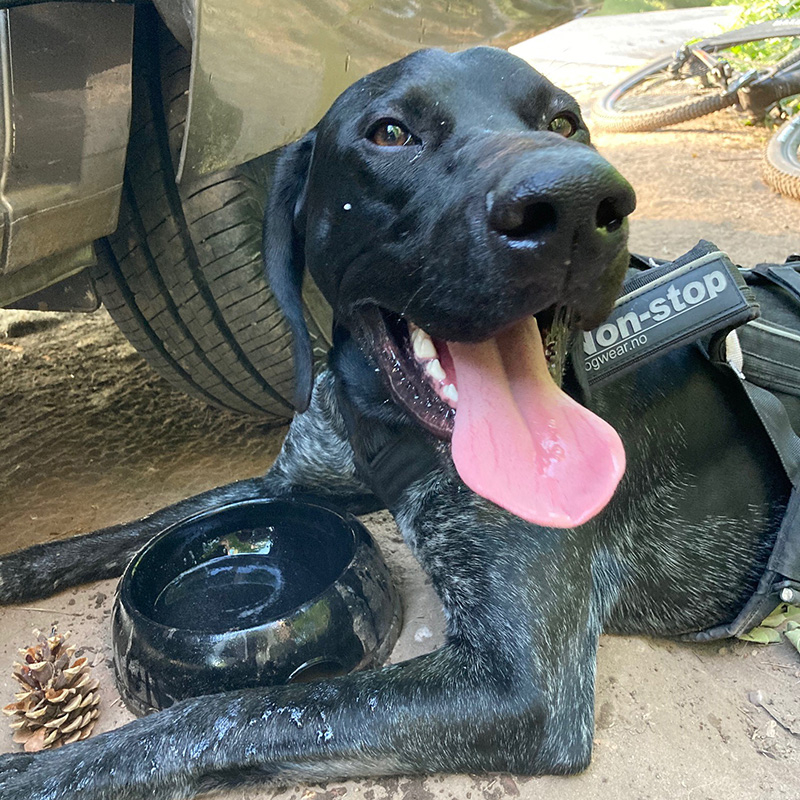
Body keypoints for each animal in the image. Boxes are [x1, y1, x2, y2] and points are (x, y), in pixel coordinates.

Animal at [0, 47, 788, 796]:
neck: (380, 410)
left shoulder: (521, 687)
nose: (577, 201)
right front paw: (21, 565)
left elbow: (231, 712)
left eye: (564, 122)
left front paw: (43, 772)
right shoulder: (294, 481)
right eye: (389, 132)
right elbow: (151, 520)